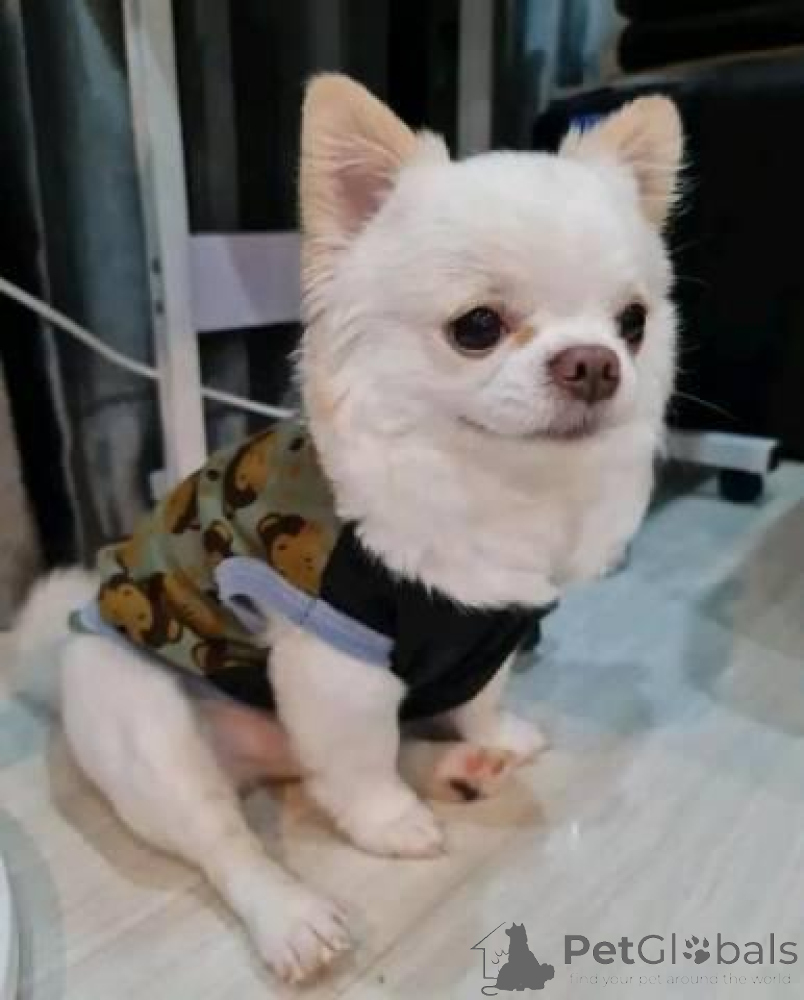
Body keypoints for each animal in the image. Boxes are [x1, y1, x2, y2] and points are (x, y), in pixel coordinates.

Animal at [15, 75, 682, 984]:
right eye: (477, 327)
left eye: (632, 323)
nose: (595, 363)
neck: (492, 486)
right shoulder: (339, 664)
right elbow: (360, 763)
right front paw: (387, 823)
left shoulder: (485, 639)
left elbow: (478, 700)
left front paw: (491, 736)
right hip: (143, 724)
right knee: (225, 836)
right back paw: (293, 917)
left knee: (354, 754)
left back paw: (459, 765)